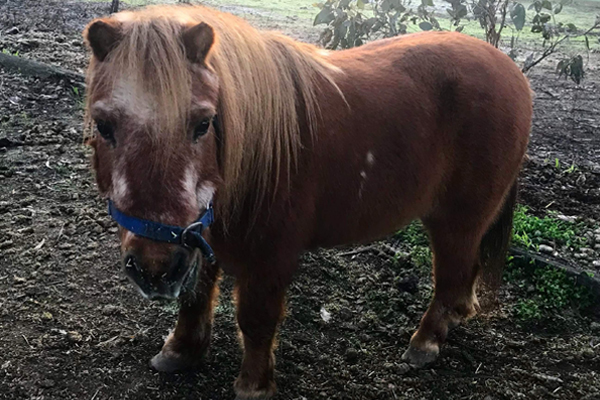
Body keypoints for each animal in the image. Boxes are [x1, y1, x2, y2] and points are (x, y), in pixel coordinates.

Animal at [82, 4, 532, 398]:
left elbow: (256, 319)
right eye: (103, 125)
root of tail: (509, 68)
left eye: (203, 123)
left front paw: (254, 385)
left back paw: (425, 342)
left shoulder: (270, 256)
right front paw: (180, 352)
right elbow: (196, 296)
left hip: (457, 219)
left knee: (452, 277)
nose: (155, 270)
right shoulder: (199, 236)